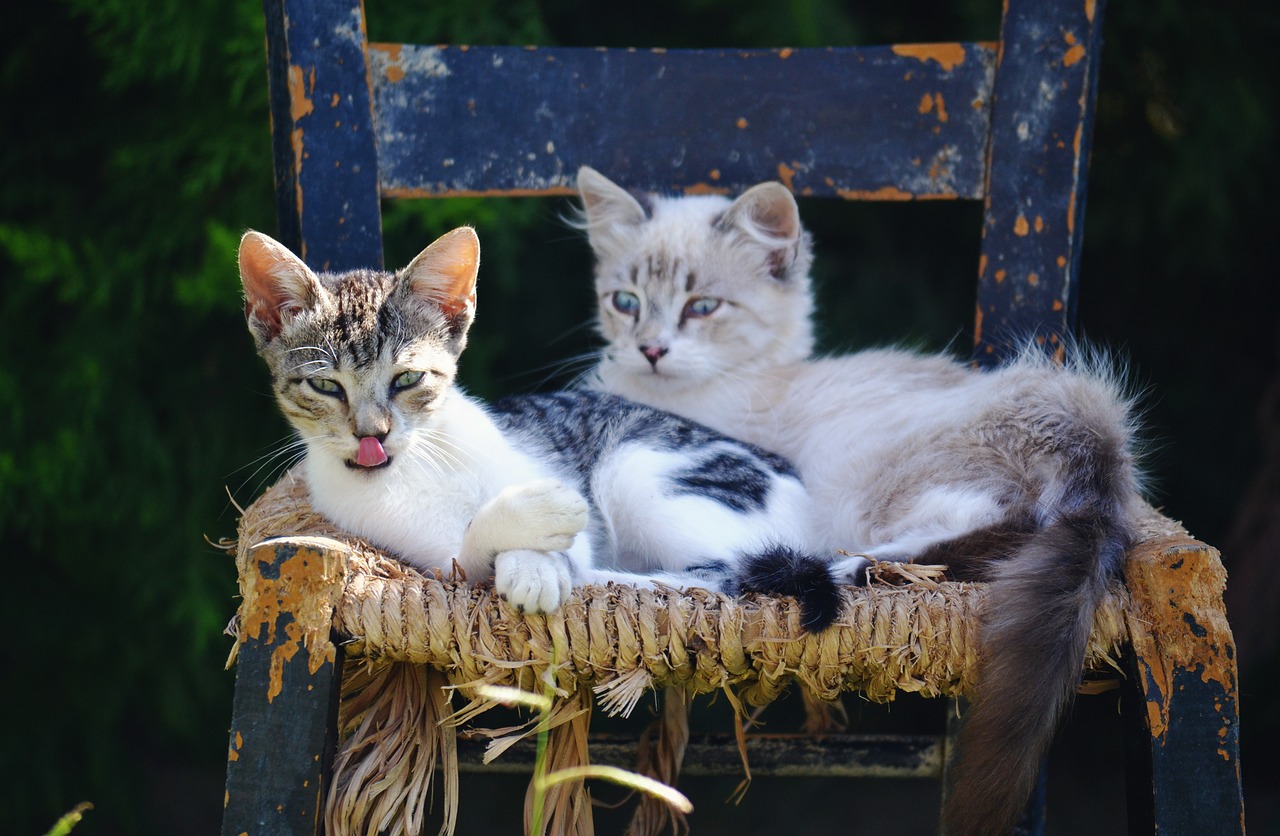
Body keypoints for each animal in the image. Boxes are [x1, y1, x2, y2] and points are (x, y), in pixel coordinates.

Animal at [238, 225, 839, 629]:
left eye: (407, 378)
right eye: (326, 386)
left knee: (725, 576)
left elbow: (564, 541)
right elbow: (466, 557)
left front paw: (538, 561)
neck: (416, 466)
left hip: (637, 468)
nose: (372, 434)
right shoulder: (425, 557)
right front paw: (528, 547)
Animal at [576, 165, 1146, 834]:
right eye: (626, 302)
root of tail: (1094, 437)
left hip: (875, 481)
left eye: (703, 307)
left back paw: (846, 568)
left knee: (971, 534)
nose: (650, 350)